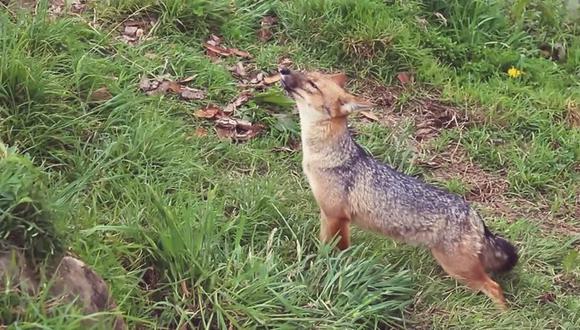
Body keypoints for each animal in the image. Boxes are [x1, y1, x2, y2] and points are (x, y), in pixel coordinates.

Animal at [278, 66, 520, 310]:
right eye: (304, 72)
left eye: (312, 84)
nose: (283, 69)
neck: (331, 156)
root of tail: (473, 213)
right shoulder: (330, 216)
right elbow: (329, 247)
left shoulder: (336, 217)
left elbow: (331, 251)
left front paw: (326, 269)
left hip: (458, 268)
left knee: (495, 288)